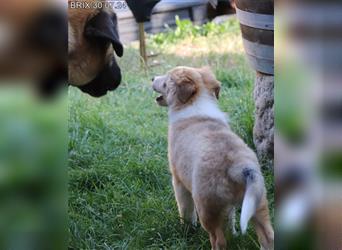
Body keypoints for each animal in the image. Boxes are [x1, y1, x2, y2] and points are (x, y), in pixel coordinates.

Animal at [152, 66, 272, 250]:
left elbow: (185, 209)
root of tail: (238, 167)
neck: (195, 102)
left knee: (218, 239)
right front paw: (234, 233)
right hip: (257, 202)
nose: (152, 78)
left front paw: (186, 228)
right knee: (267, 235)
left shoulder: (178, 180)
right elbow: (230, 218)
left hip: (207, 207)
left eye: (166, 80)